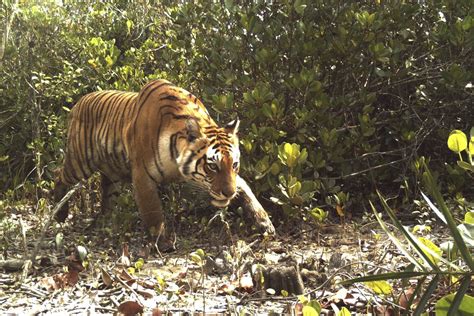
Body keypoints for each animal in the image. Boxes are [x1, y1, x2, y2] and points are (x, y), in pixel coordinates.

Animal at [53, 78, 276, 247]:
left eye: (234, 165)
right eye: (213, 166)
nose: (228, 194)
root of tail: (79, 102)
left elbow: (244, 186)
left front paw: (264, 221)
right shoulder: (142, 175)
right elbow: (153, 211)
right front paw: (162, 242)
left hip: (112, 176)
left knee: (107, 195)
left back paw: (104, 221)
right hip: (79, 162)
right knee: (58, 175)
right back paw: (59, 214)